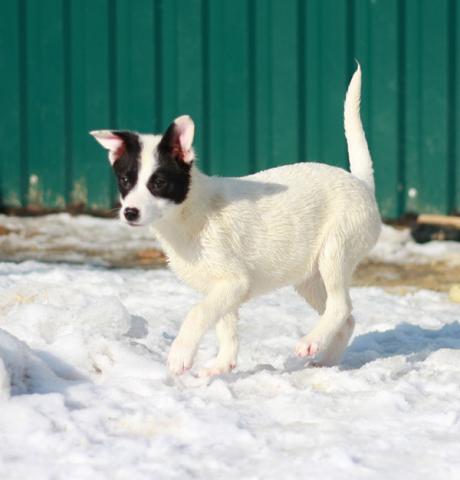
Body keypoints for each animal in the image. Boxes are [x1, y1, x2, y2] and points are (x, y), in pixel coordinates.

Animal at [90, 64, 381, 376]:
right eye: (125, 181)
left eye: (158, 182)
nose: (130, 212)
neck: (191, 212)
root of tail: (362, 184)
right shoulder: (222, 287)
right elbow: (224, 326)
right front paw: (221, 366)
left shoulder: (234, 282)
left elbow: (198, 312)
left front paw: (181, 355)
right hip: (309, 277)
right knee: (346, 318)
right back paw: (324, 362)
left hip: (335, 251)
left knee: (340, 306)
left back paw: (309, 342)